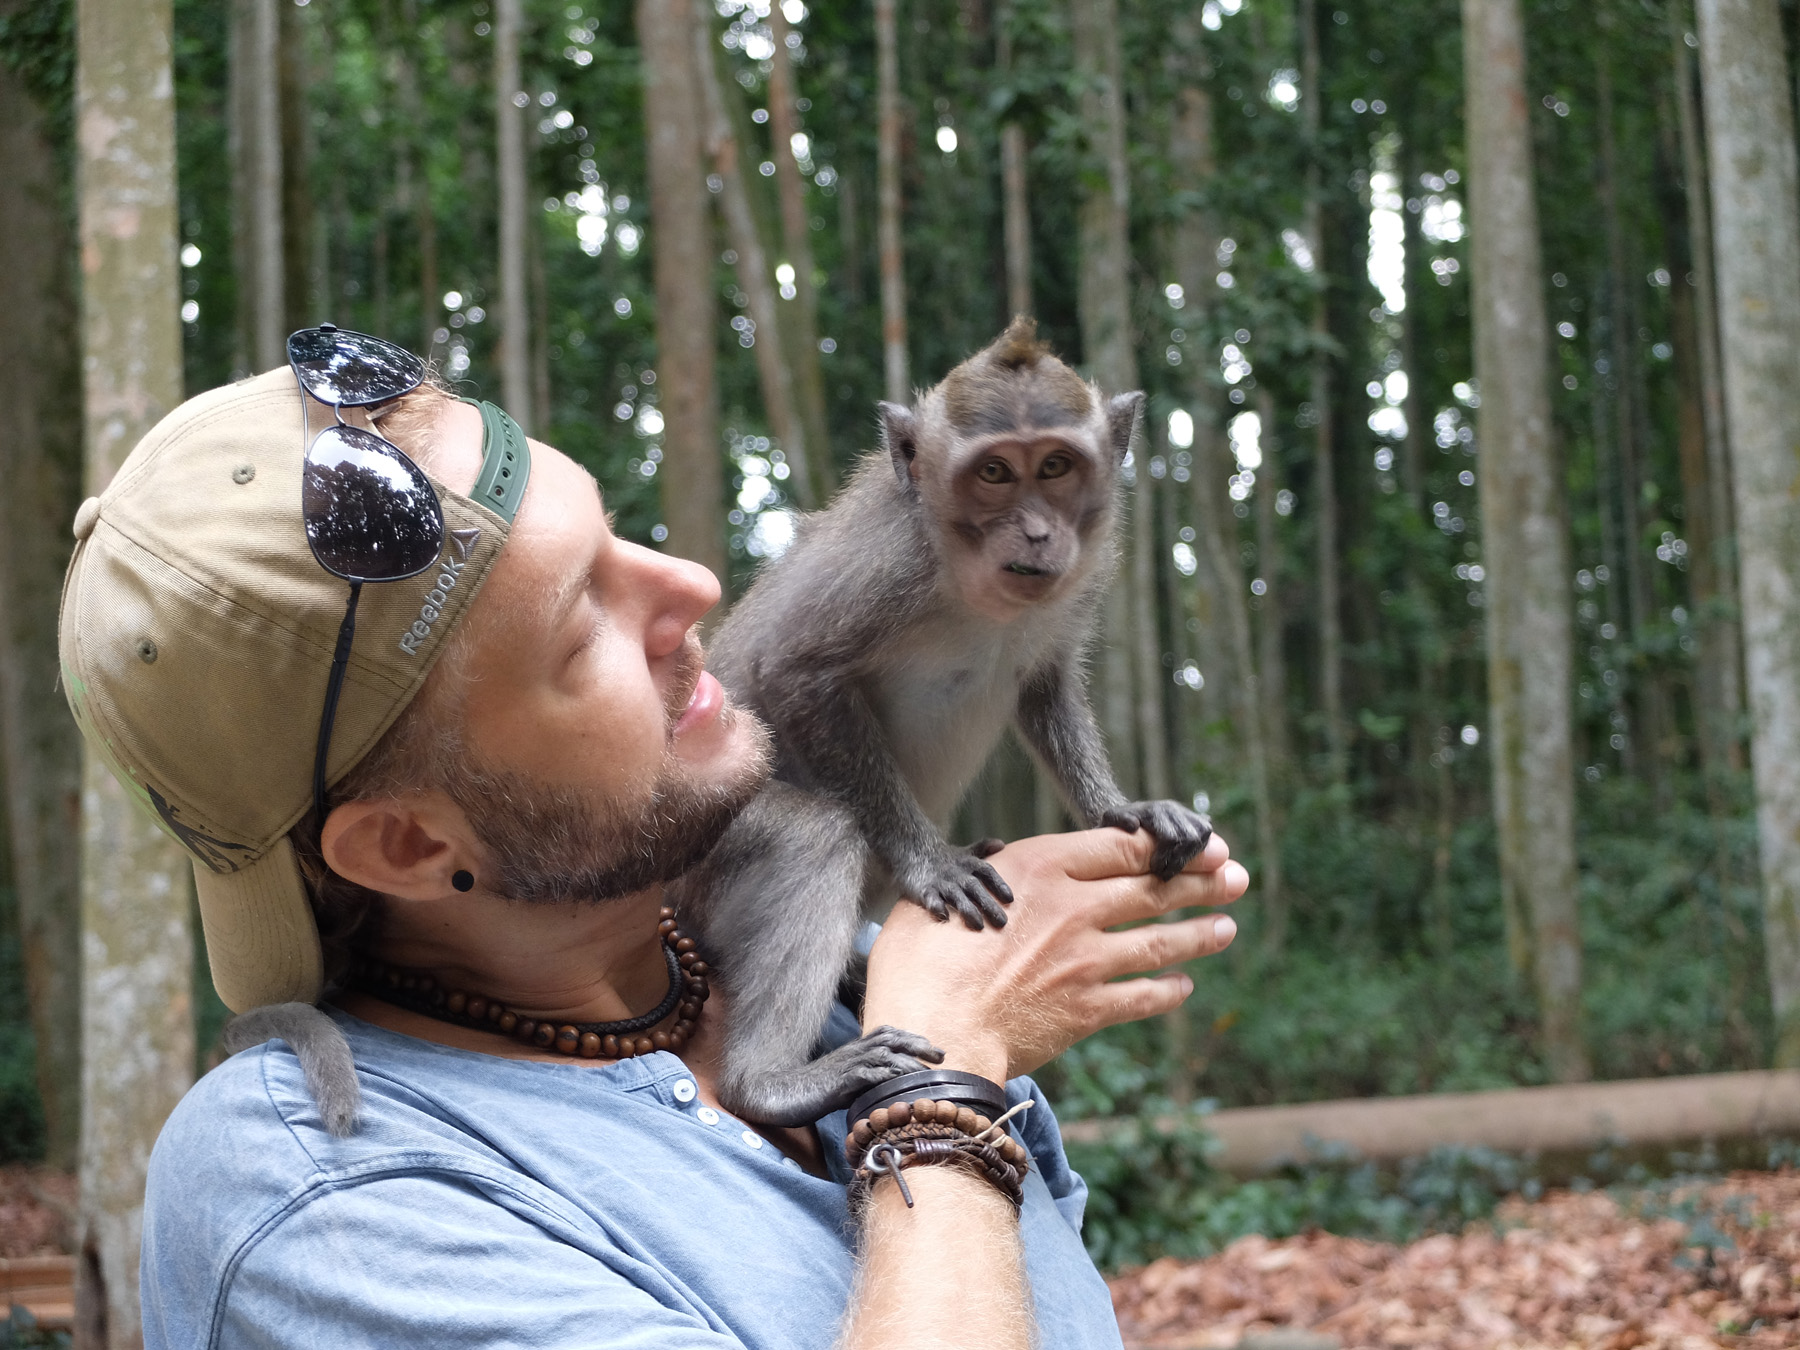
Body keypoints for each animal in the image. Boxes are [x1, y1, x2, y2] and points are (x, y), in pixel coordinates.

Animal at [672, 316, 1213, 1127]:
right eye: (994, 474)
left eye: (1056, 466)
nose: (1035, 532)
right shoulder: (889, 564)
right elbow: (794, 668)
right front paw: (930, 861)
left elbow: (1044, 681)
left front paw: (1122, 809)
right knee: (811, 836)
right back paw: (770, 1083)